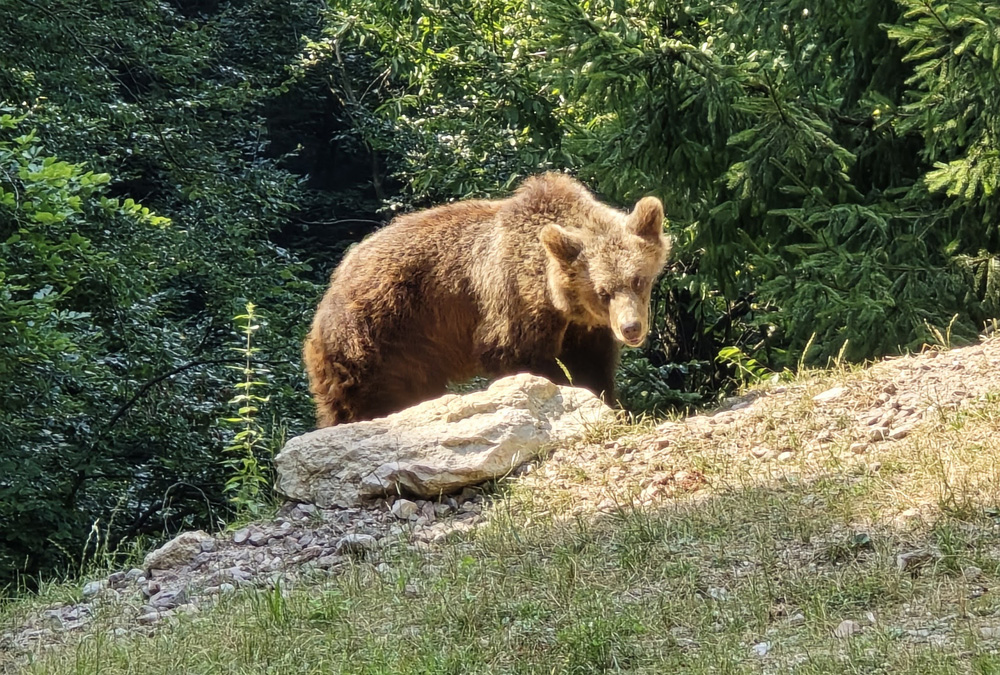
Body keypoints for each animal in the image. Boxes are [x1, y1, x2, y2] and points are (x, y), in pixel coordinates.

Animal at [300, 172, 668, 426]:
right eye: (603, 291)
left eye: (638, 280)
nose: (631, 328)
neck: (557, 300)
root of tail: (336, 281)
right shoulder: (514, 305)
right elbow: (521, 360)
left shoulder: (586, 331)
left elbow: (594, 368)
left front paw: (610, 404)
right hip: (374, 336)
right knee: (359, 398)